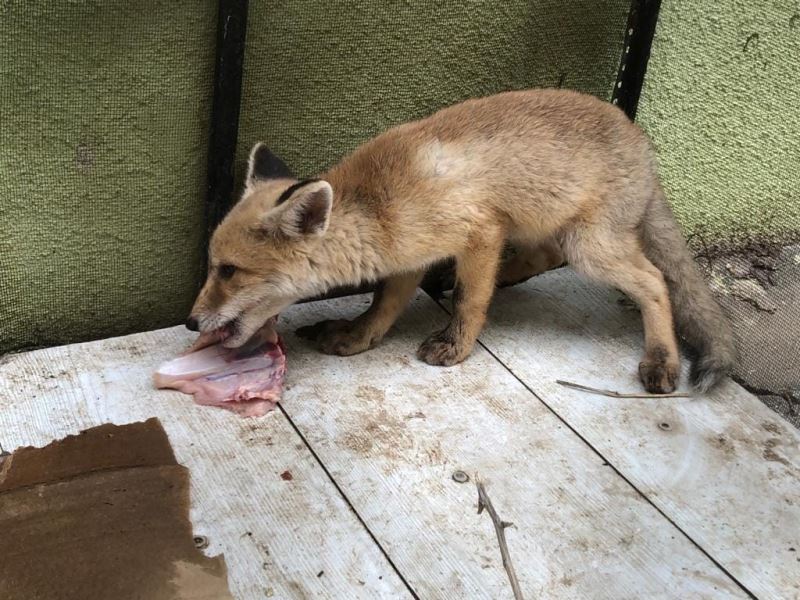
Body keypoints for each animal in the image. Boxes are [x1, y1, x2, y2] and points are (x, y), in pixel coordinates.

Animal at [188, 88, 736, 394]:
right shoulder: (410, 254)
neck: (380, 205)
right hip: (557, 230)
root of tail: (642, 141)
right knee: (545, 255)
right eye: (213, 266)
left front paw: (455, 346)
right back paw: (506, 277)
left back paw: (662, 358)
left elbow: (471, 301)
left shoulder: (480, 231)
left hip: (590, 247)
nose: (192, 321)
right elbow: (382, 307)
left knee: (656, 281)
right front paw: (357, 338)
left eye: (228, 271)